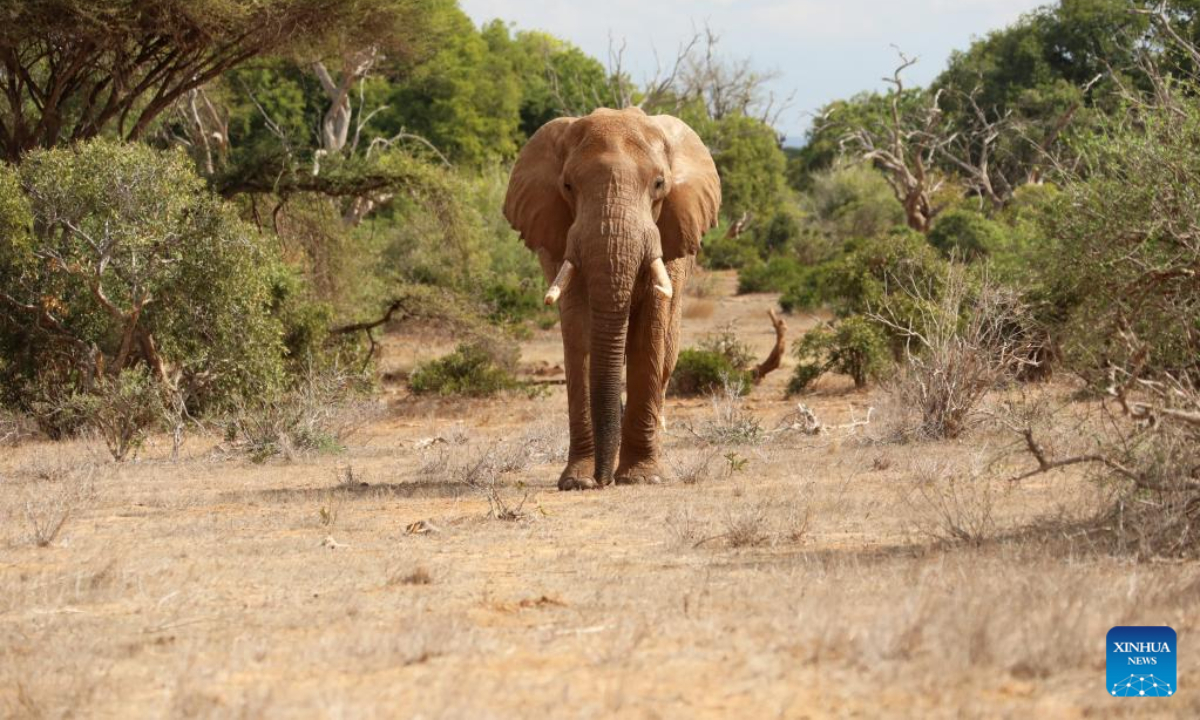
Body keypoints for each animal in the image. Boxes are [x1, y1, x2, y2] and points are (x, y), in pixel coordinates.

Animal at [503, 107, 722, 490]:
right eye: (567, 186)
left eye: (659, 184)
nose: (602, 480)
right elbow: (579, 330)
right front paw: (577, 482)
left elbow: (651, 328)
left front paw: (644, 478)